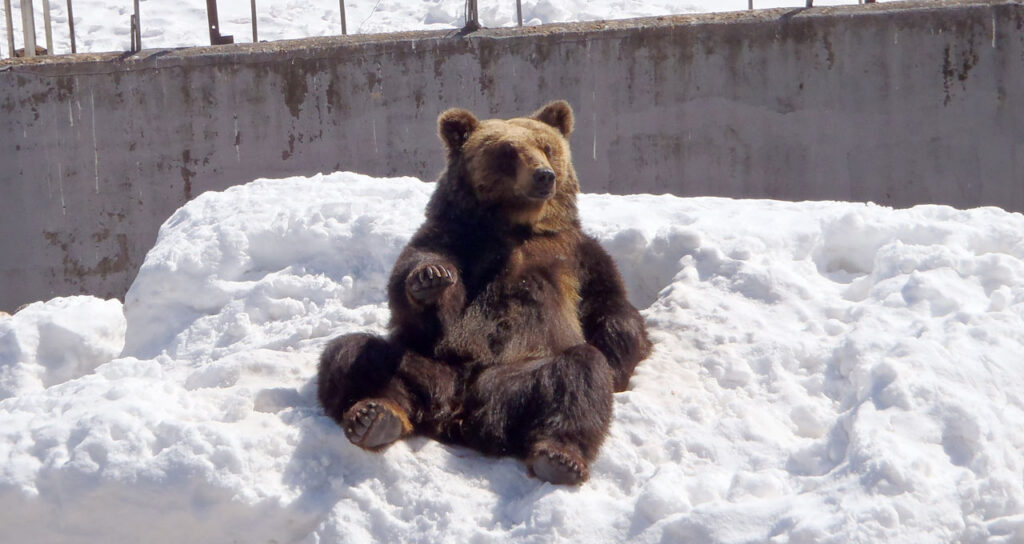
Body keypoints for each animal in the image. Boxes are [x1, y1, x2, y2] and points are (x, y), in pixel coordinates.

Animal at [317, 100, 652, 485]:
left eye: (547, 146)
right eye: (508, 151)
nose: (544, 175)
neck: (515, 226)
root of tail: (457, 413)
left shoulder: (576, 254)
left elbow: (608, 305)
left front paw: (619, 362)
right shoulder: (452, 237)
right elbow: (415, 291)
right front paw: (429, 278)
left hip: (515, 380)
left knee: (579, 373)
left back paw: (560, 456)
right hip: (433, 366)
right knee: (356, 355)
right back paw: (374, 416)